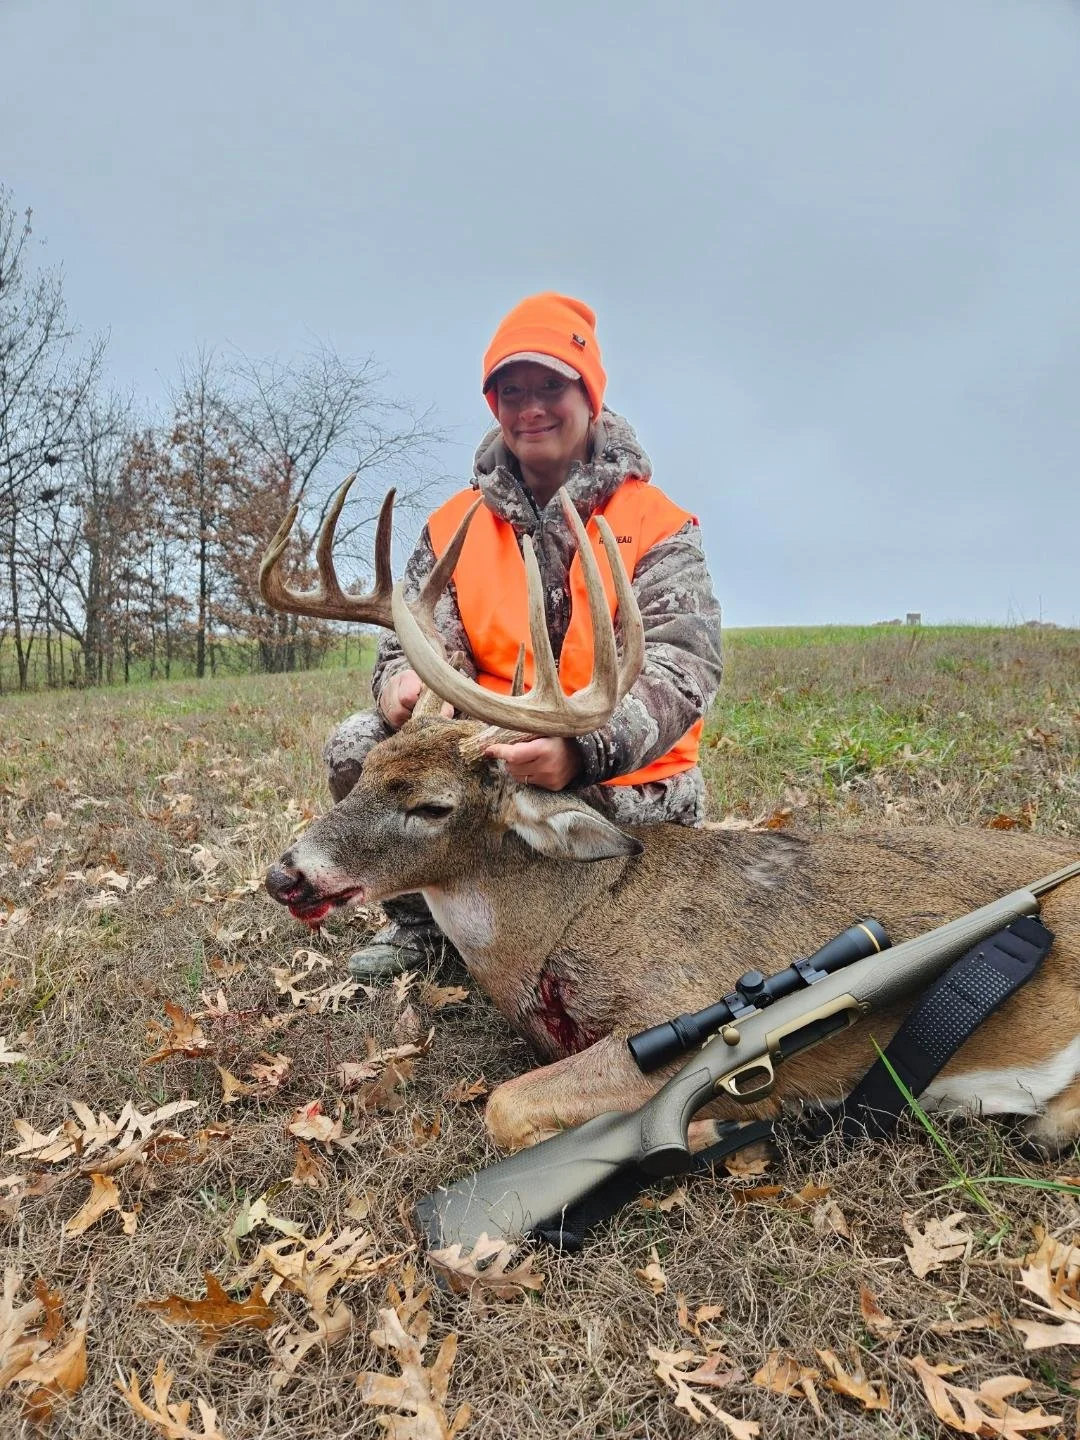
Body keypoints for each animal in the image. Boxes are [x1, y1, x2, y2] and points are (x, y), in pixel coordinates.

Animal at [261, 478, 1080, 1158]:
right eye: (368, 770)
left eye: (432, 805)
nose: (285, 875)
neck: (556, 929)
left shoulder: (671, 1015)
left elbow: (504, 1105)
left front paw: (717, 1127)